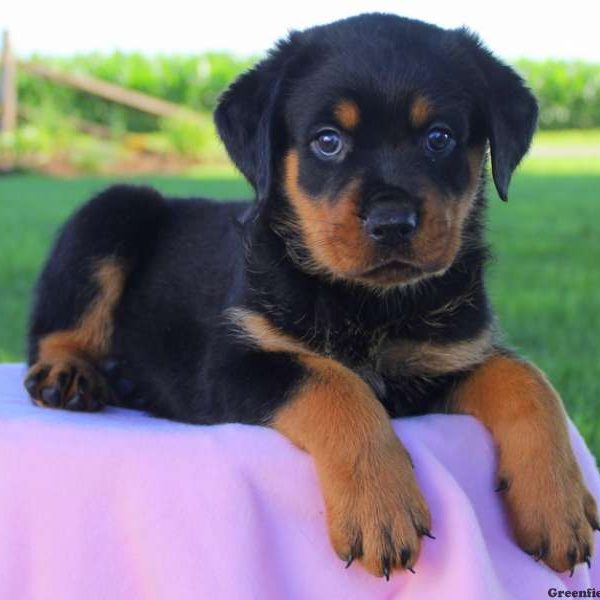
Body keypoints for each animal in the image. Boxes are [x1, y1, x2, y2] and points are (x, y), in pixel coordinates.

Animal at [23, 12, 596, 576]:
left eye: (439, 137)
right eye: (327, 140)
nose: (393, 222)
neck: (368, 303)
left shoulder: (448, 359)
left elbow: (526, 380)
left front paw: (560, 506)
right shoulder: (231, 365)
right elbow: (332, 382)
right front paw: (381, 508)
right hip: (114, 208)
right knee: (50, 331)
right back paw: (69, 375)